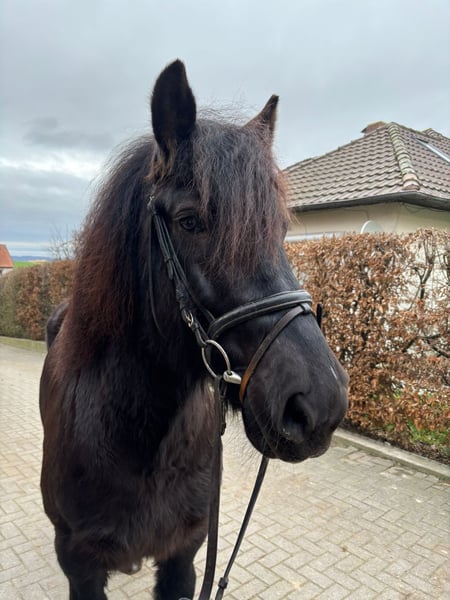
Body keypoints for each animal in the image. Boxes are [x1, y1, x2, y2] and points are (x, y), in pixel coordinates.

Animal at [39, 60, 348, 600]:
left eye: (280, 230)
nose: (320, 404)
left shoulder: (183, 554)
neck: (140, 439)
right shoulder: (81, 568)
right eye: (189, 221)